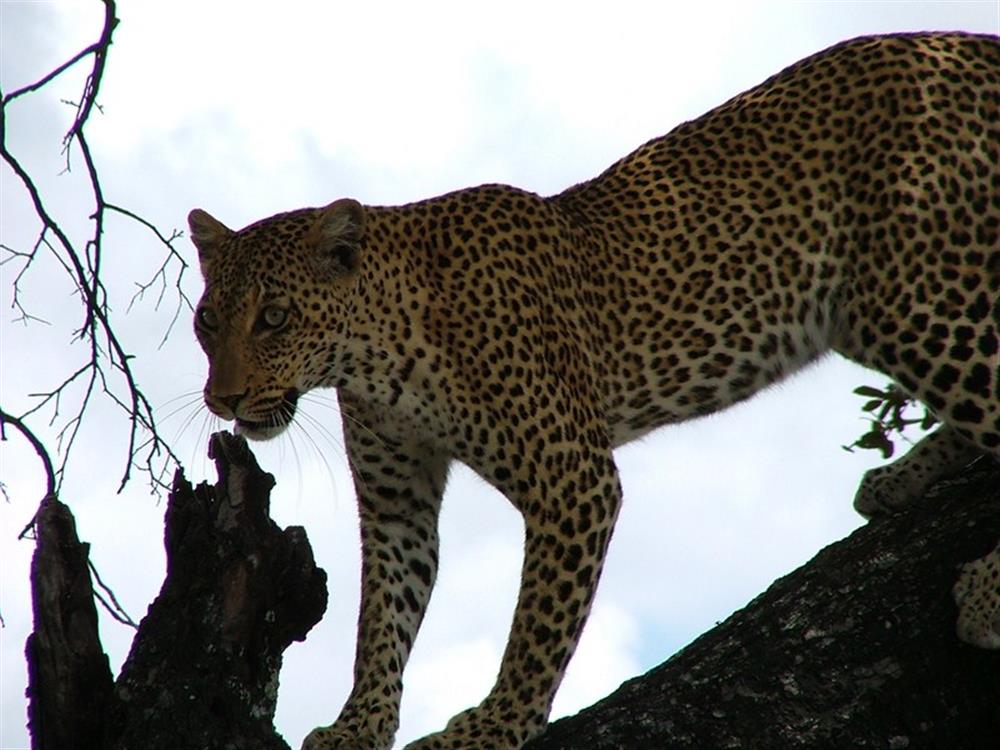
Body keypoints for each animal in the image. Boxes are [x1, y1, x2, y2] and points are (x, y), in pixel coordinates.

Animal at [189, 30, 1000, 750]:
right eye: (207, 321)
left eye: (274, 318)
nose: (222, 401)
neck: (374, 357)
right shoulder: (397, 503)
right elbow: (384, 615)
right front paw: (360, 725)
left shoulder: (571, 478)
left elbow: (538, 629)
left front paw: (492, 728)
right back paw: (900, 479)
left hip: (915, 300)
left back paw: (985, 588)